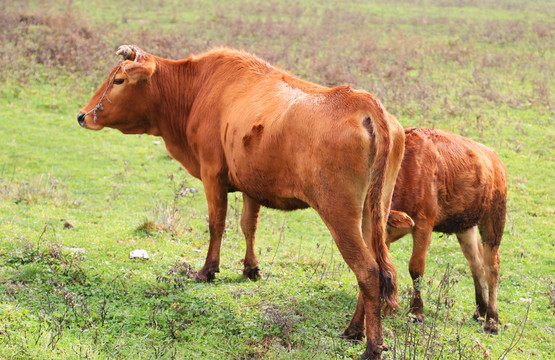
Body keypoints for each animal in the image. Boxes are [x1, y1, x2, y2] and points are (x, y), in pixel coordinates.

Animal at [78, 45, 406, 358]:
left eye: (119, 80)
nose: (82, 115)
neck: (196, 88)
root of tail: (360, 101)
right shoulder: (250, 184)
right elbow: (248, 226)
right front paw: (251, 268)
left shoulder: (212, 174)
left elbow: (217, 224)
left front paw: (208, 270)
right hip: (372, 213)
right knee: (377, 267)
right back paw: (354, 329)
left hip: (339, 214)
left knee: (367, 271)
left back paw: (371, 345)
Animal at [346, 125, 510, 338]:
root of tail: (494, 159)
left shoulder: (424, 224)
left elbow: (416, 268)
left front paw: (417, 312)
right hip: (465, 227)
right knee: (476, 263)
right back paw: (480, 311)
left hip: (494, 220)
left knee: (492, 265)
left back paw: (492, 320)